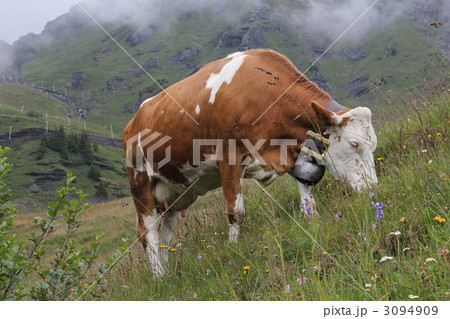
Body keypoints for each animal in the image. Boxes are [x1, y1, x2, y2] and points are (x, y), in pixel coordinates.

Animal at [122, 48, 376, 276]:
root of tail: (133, 122)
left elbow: (308, 200)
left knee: (165, 235)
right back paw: (158, 277)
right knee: (149, 234)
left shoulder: (293, 153)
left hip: (175, 193)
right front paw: (234, 253)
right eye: (354, 143)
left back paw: (167, 273)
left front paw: (313, 226)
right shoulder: (229, 158)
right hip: (140, 181)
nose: (372, 188)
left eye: (373, 144)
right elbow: (236, 213)